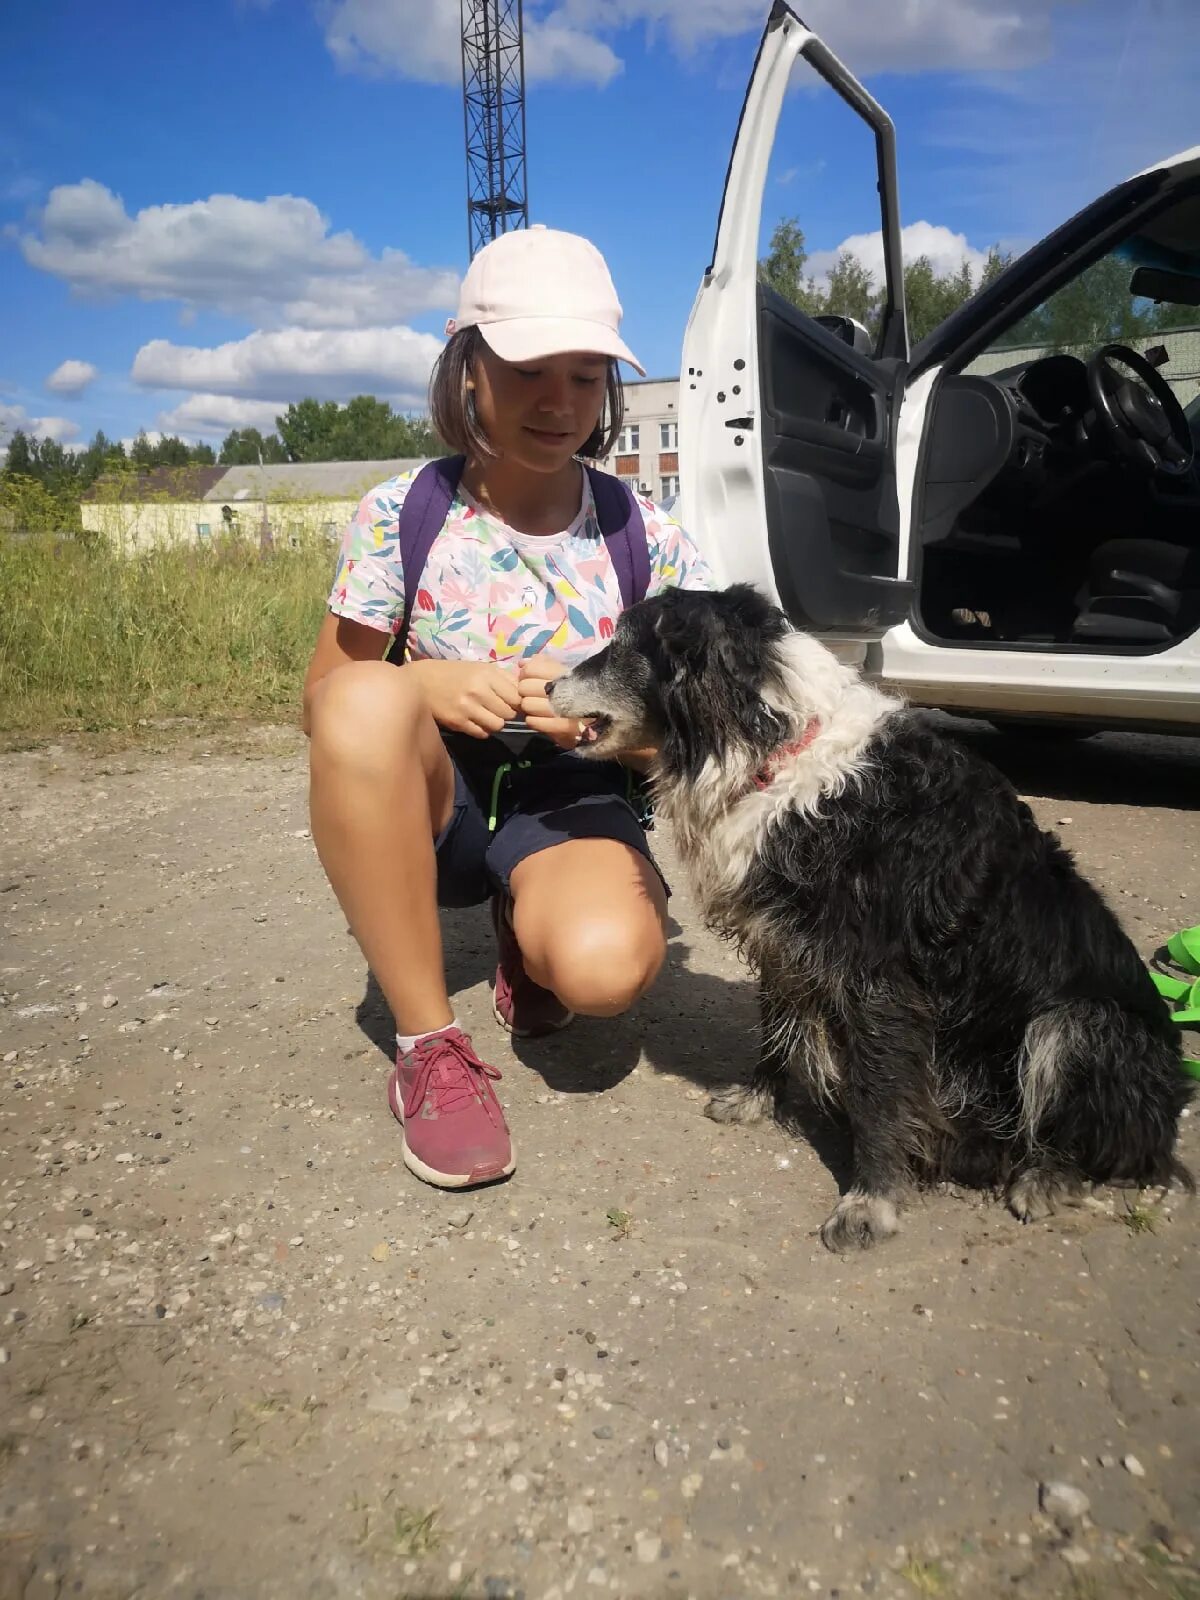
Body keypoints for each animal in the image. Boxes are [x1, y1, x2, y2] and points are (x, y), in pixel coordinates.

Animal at [553, 588, 1196, 1248]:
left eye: (624, 645)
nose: (548, 685)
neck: (782, 754)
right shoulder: (784, 943)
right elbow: (777, 1035)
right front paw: (756, 1101)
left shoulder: (878, 978)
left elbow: (878, 1092)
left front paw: (872, 1200)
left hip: (1077, 1025)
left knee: (1122, 1148)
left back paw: (1045, 1178)